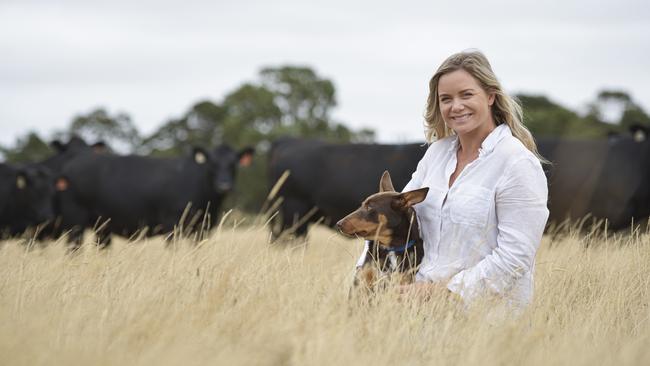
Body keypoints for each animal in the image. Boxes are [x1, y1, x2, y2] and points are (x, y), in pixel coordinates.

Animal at [57, 144, 253, 247]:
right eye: (212, 164)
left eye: (233, 164)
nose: (224, 185)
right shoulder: (171, 223)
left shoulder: (202, 227)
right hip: (76, 221)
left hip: (102, 226)